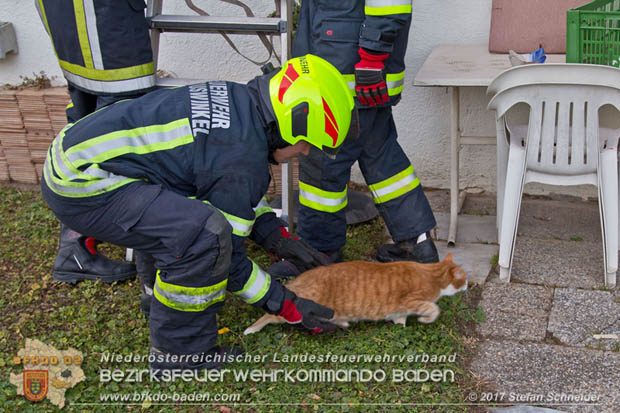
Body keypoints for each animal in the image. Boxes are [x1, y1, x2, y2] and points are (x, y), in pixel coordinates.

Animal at [245, 251, 468, 334]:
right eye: (465, 278)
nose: (468, 285)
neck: (432, 274)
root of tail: (301, 278)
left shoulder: (400, 310)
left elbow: (400, 319)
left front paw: (400, 326)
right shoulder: (411, 300)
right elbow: (433, 308)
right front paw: (425, 319)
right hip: (299, 308)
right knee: (272, 313)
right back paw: (252, 329)